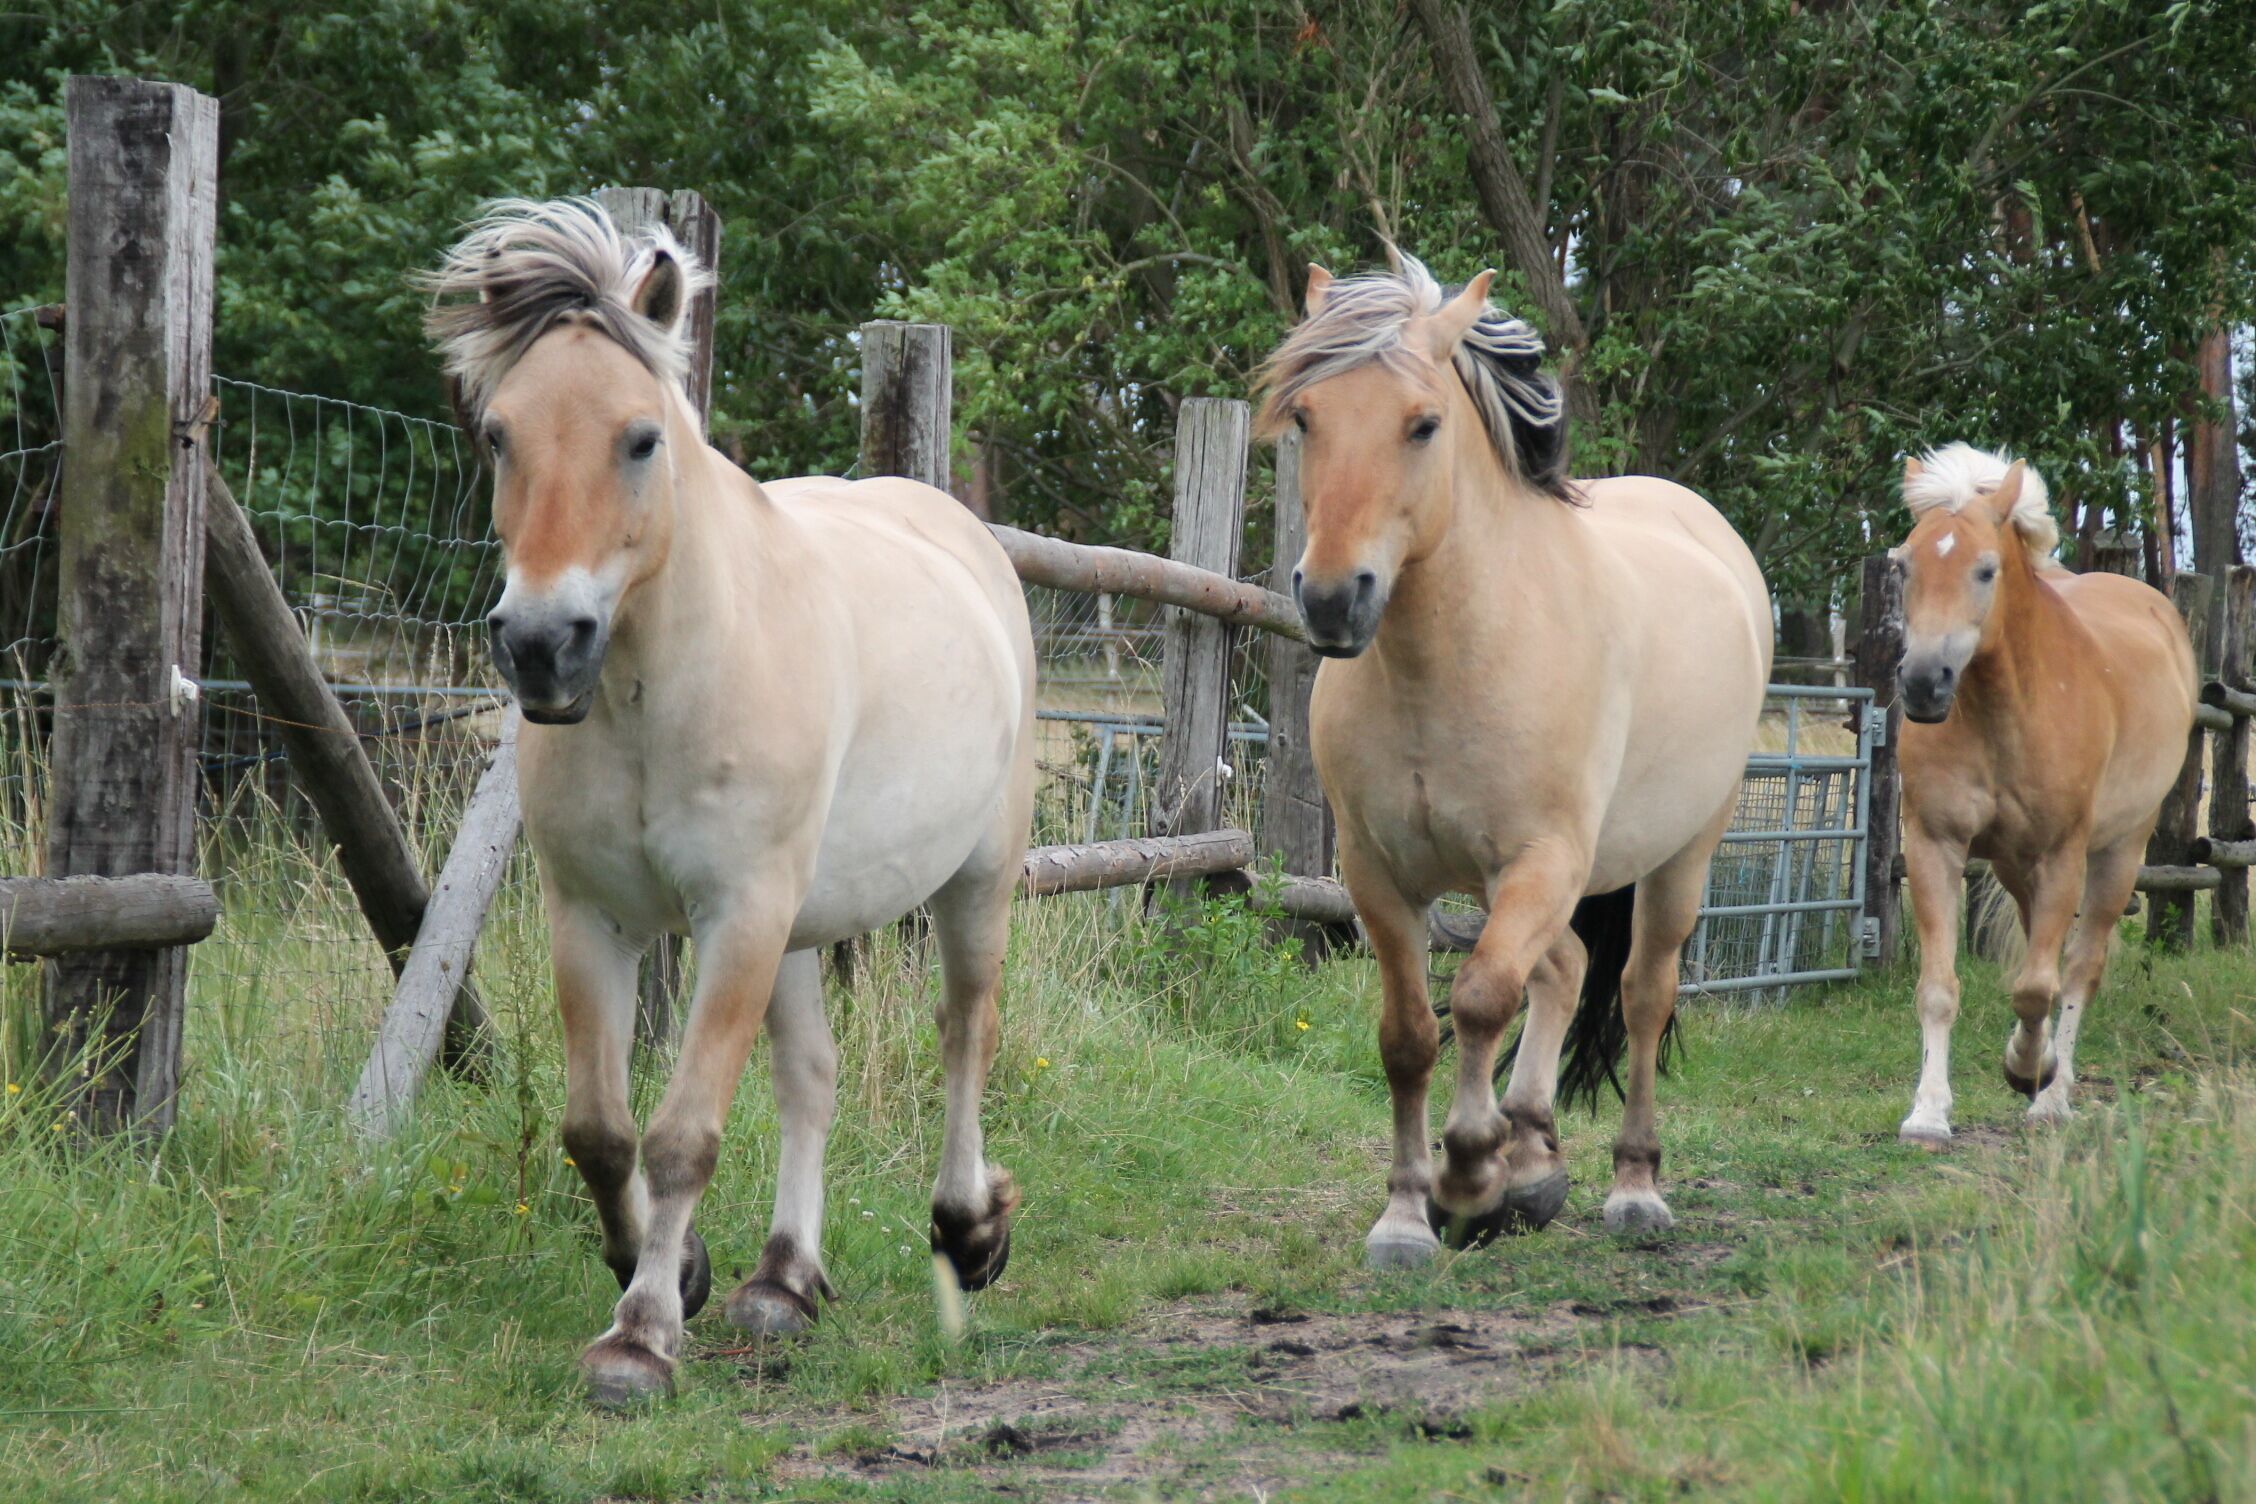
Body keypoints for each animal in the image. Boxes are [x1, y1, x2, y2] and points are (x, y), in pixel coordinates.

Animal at [424, 200, 1036, 1403]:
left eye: (640, 438)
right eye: (499, 434)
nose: (541, 646)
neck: (662, 688)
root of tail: (960, 533)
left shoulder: (738, 913)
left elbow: (682, 1134)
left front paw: (640, 1337)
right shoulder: (591, 915)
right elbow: (599, 1129)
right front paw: (679, 1270)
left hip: (969, 882)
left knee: (964, 1035)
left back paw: (966, 1231)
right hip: (798, 926)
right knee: (811, 1077)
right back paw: (782, 1281)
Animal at [1254, 253, 1773, 1267]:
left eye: (1423, 423)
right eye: (1304, 418)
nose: (1333, 599)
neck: (1451, 660)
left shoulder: (1541, 861)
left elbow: (1483, 1000)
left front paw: (1466, 1178)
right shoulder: (1377, 875)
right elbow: (1410, 1033)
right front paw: (1410, 1213)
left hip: (1681, 854)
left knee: (1640, 994)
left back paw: (1631, 1187)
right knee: (1567, 968)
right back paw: (1533, 1157)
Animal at [1890, 444, 2195, 1144]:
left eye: (1986, 570)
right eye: (1903, 566)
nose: (1923, 684)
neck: (2006, 711)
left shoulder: (2063, 855)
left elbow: (2038, 986)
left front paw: (2031, 1072)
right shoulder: (1934, 845)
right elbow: (1940, 988)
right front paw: (1928, 1113)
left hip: (2117, 853)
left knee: (2080, 966)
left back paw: (2053, 1092)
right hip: (2015, 863)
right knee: (2043, 947)